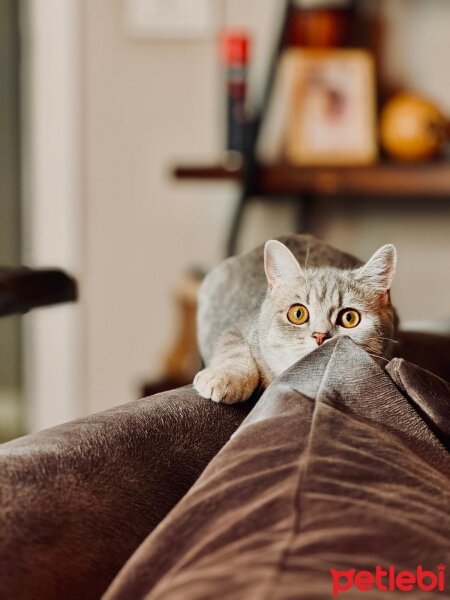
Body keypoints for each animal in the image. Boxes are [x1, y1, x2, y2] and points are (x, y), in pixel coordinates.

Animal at [193, 234, 398, 404]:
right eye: (298, 314)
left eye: (349, 318)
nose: (320, 336)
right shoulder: (238, 327)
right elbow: (233, 349)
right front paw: (226, 377)